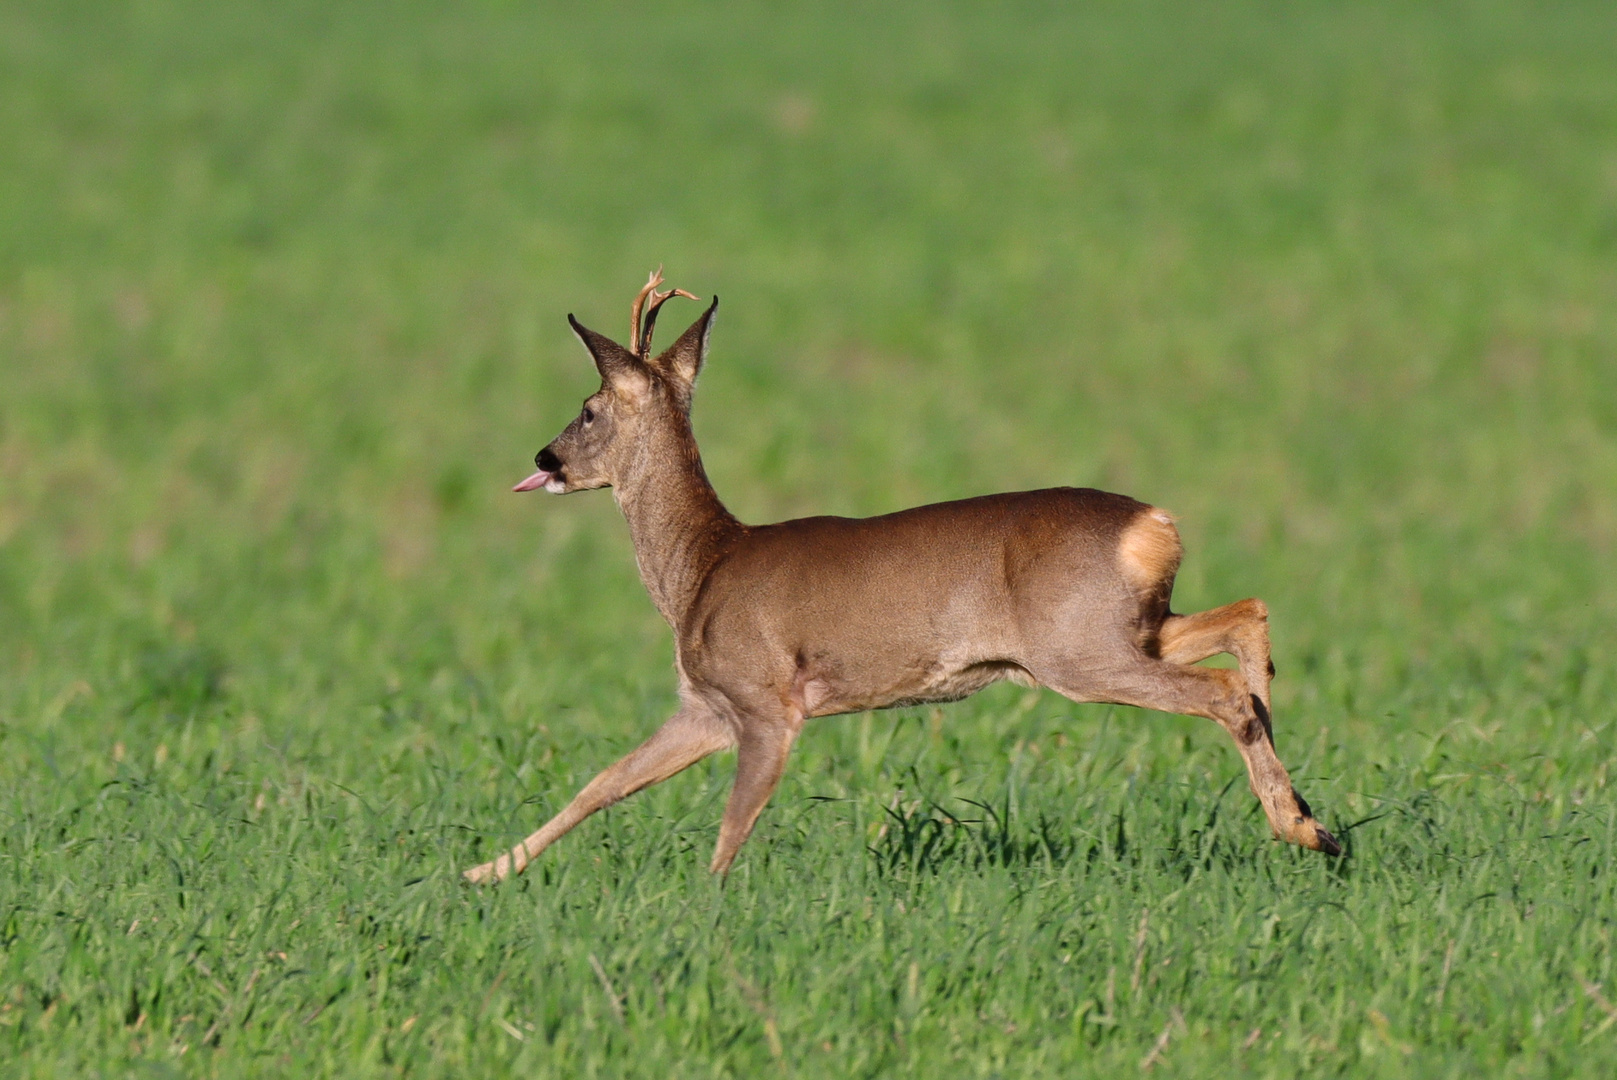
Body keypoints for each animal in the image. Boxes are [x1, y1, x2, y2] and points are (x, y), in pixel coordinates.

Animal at [459, 271, 1338, 885]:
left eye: (587, 409)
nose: (544, 457)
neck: (701, 565)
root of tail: (1155, 523)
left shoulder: (764, 701)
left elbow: (730, 828)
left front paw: (704, 910)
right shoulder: (705, 706)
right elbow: (602, 783)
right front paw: (481, 872)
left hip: (1079, 649)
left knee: (1222, 690)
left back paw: (1301, 827)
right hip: (1129, 628)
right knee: (1246, 621)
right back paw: (1309, 815)